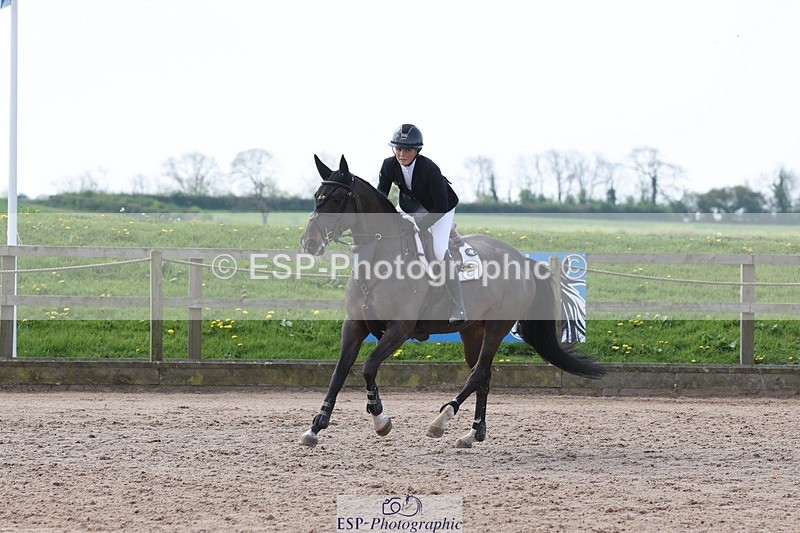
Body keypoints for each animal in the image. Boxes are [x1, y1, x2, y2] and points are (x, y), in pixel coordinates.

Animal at [298, 155, 605, 448]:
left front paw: (380, 418)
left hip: (498, 326)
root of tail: (523, 260)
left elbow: (369, 366)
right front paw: (315, 427)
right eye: (316, 196)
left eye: (336, 199)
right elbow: (339, 374)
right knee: (483, 375)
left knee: (478, 374)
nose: (308, 242)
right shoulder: (354, 326)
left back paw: (441, 420)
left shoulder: (399, 329)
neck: (378, 261)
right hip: (473, 330)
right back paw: (473, 433)